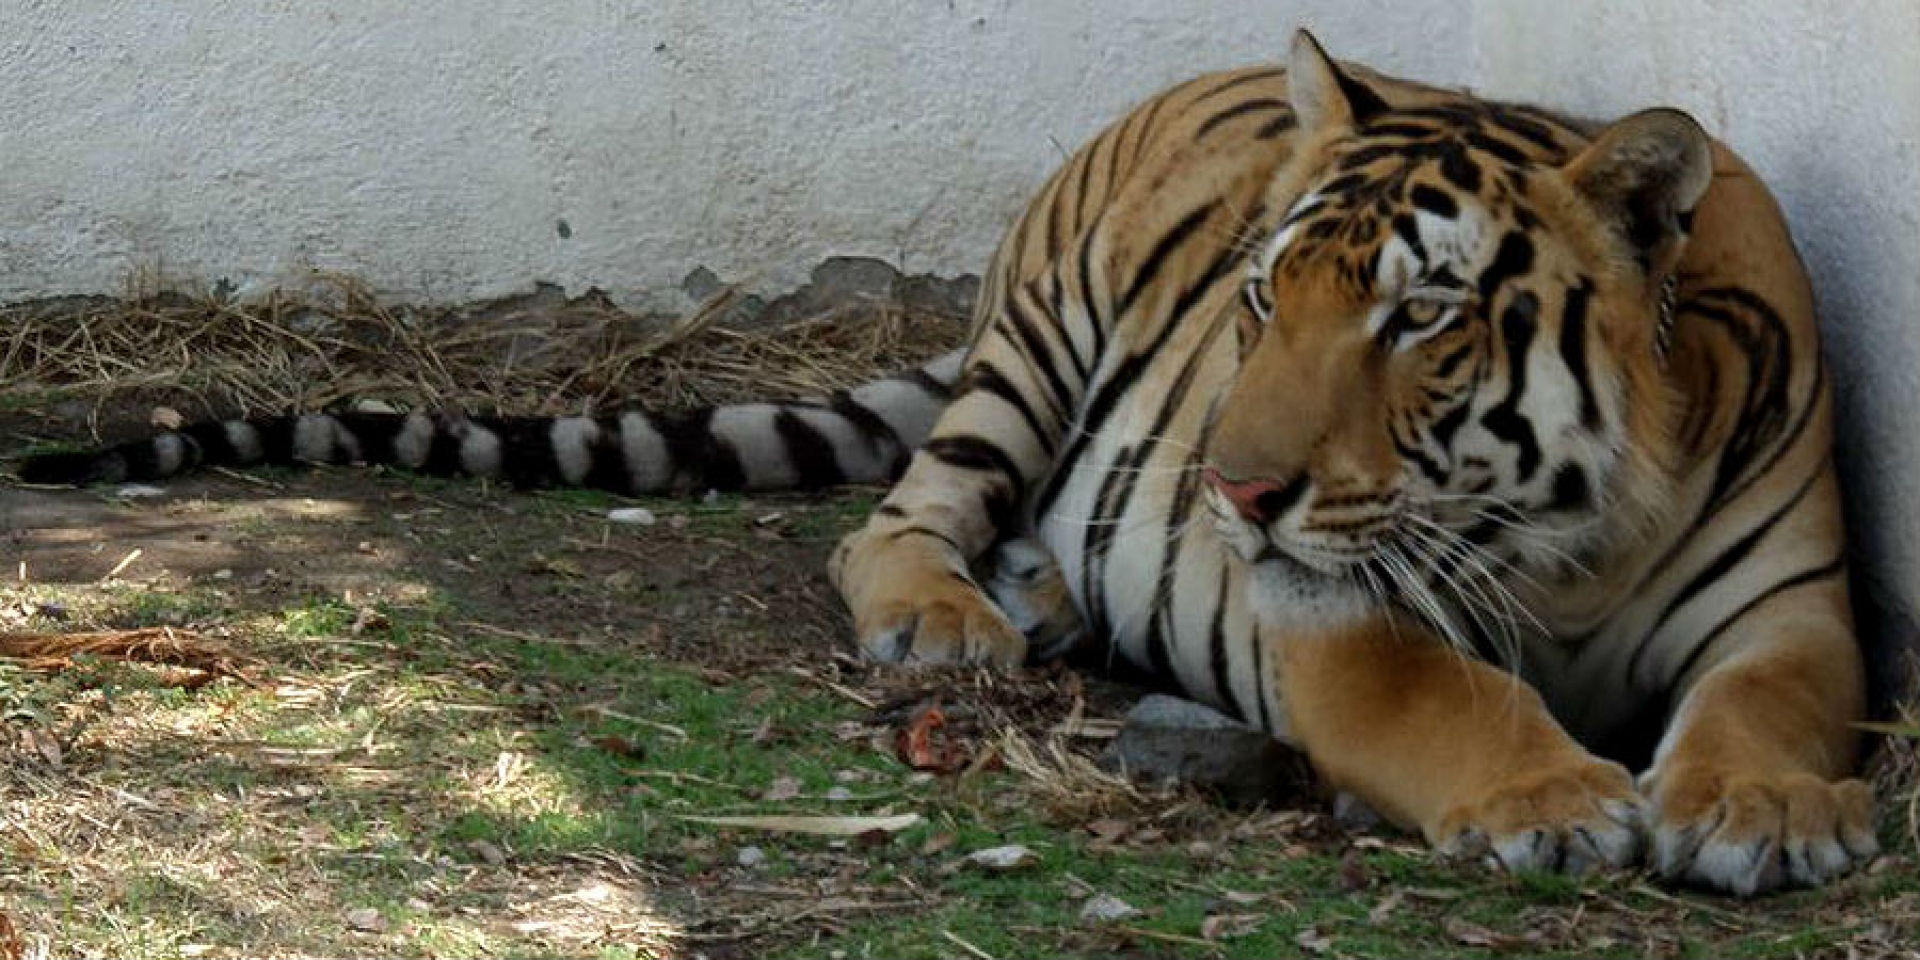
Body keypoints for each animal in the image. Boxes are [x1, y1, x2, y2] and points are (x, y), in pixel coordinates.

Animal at [14, 30, 1876, 895]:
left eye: (1421, 318)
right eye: (1265, 301)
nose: (1230, 494)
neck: (1569, 538)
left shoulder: (1795, 607)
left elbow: (1774, 705)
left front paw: (1763, 812)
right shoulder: (1327, 608)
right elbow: (1445, 695)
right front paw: (1555, 802)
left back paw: (1044, 600)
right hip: (1036, 357)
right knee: (891, 524)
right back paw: (954, 621)